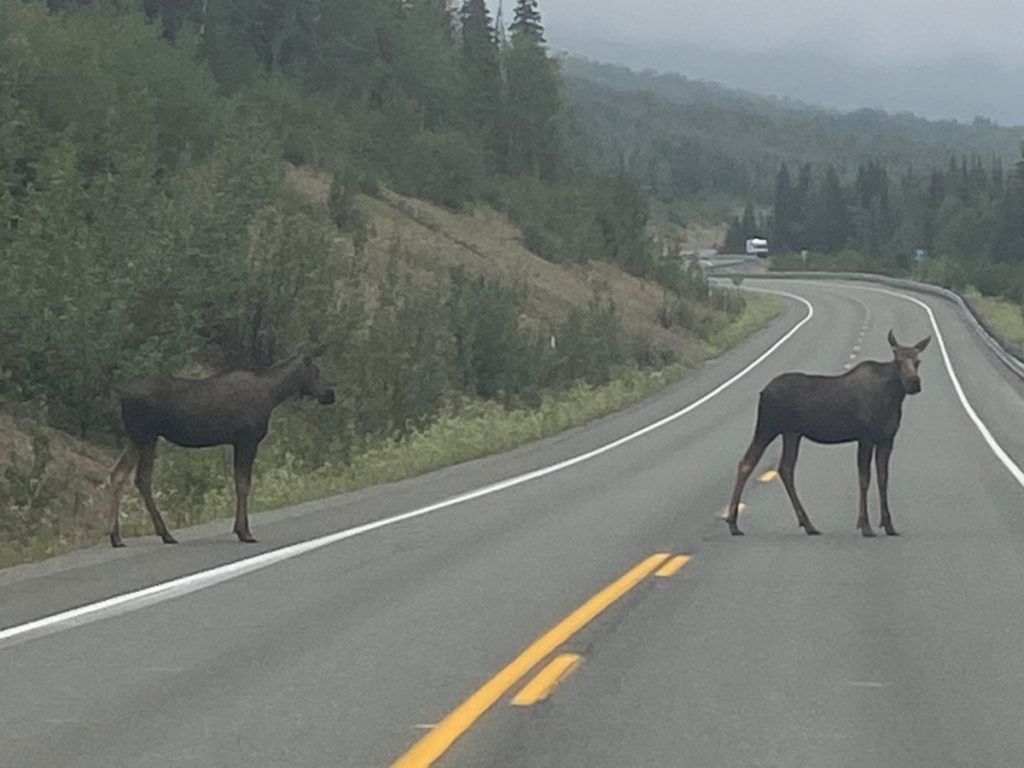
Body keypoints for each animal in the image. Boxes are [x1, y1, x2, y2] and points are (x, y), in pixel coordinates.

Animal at [107, 346, 335, 548]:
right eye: (317, 371)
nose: (330, 394)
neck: (273, 394)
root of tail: (121, 397)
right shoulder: (247, 440)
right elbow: (243, 485)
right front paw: (244, 532)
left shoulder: (239, 442)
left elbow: (239, 484)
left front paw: (240, 529)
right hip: (147, 436)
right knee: (142, 478)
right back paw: (164, 533)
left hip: (135, 438)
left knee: (118, 474)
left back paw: (116, 537)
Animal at [724, 327, 933, 536]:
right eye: (897, 361)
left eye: (918, 361)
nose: (914, 383)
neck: (893, 398)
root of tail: (763, 391)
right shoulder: (865, 438)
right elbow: (864, 479)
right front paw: (865, 525)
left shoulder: (887, 439)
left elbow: (883, 478)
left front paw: (889, 525)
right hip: (767, 426)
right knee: (747, 462)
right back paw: (733, 523)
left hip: (791, 433)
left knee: (785, 468)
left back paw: (808, 524)